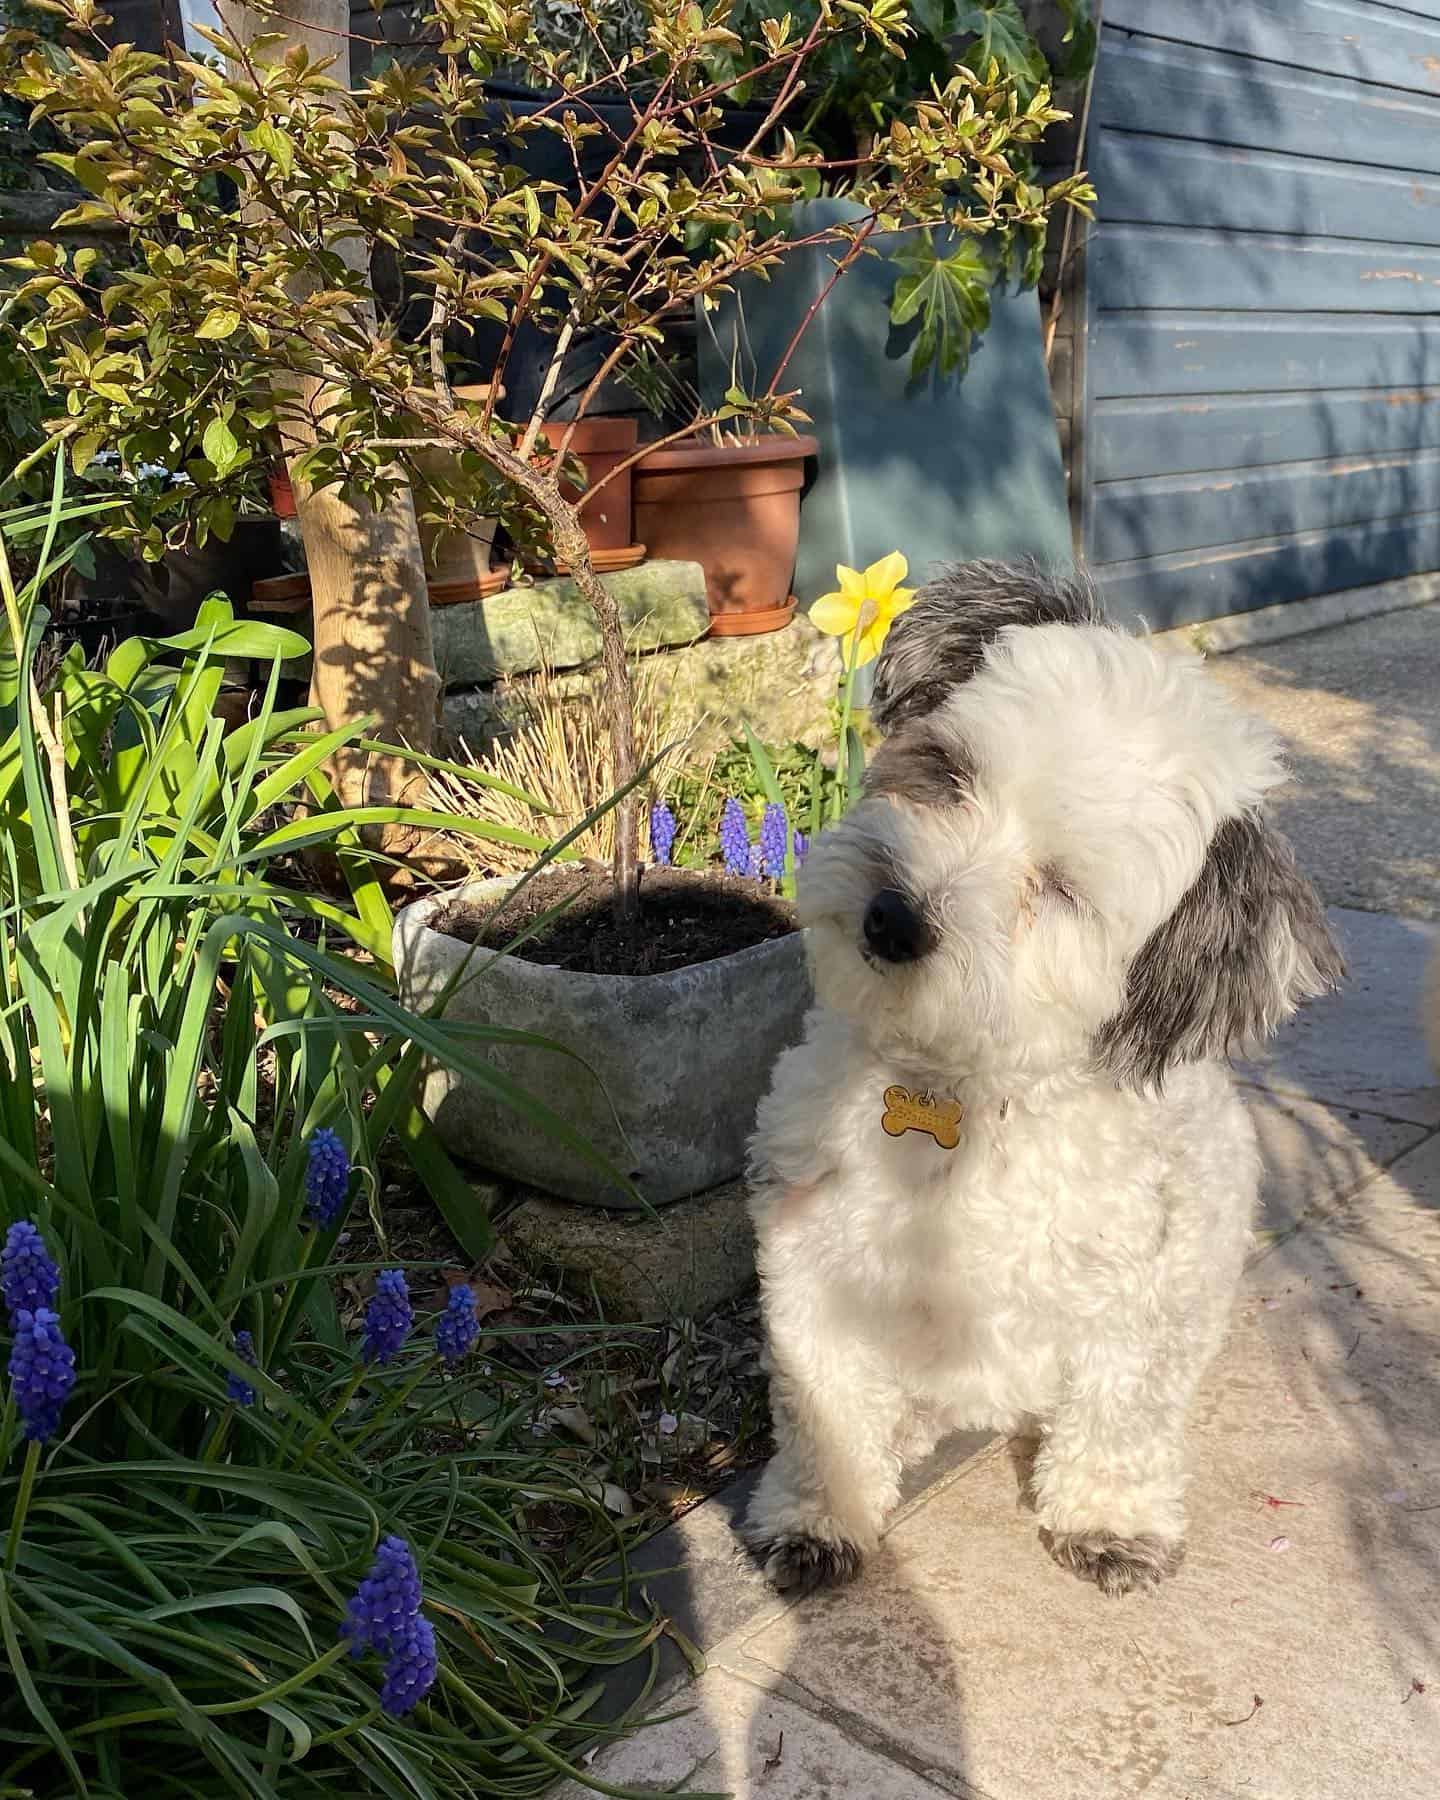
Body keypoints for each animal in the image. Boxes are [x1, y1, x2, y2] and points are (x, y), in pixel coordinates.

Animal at [748, 565, 1346, 1605]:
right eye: (947, 771)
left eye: (1063, 888)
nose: (893, 918)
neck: (966, 1099)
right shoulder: (813, 1267)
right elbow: (823, 1409)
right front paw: (820, 1518)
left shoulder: (1143, 1296)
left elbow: (1123, 1413)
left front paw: (1110, 1520)